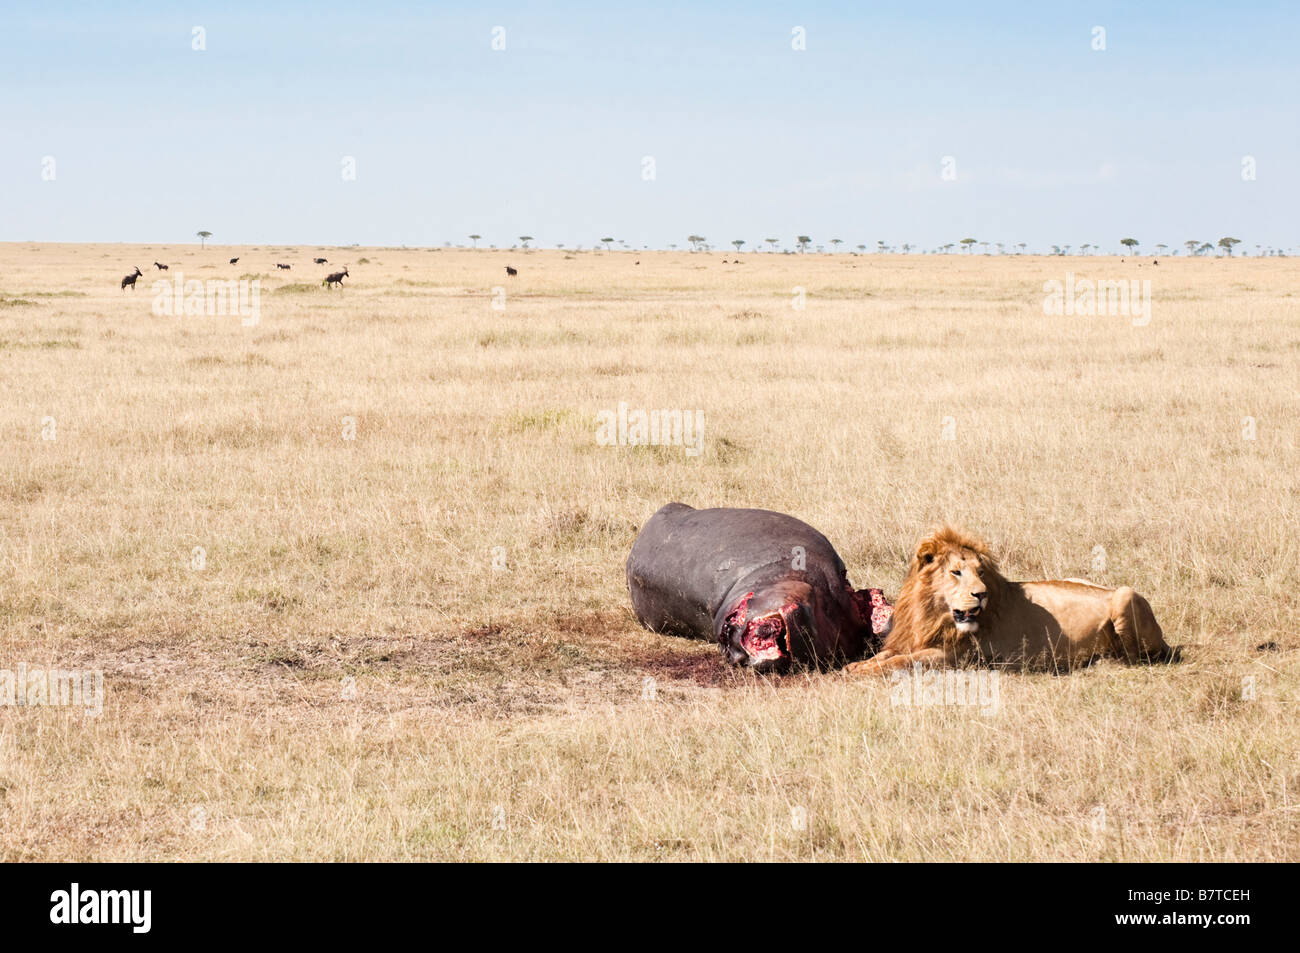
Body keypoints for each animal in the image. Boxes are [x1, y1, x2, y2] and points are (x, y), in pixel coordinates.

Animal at [842, 525, 1170, 670]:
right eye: (956, 572)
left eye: (981, 572)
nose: (981, 594)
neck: (931, 611)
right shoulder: (912, 639)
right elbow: (885, 656)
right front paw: (854, 666)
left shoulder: (951, 656)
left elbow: (896, 663)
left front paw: (859, 672)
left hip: (1125, 596)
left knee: (1137, 656)